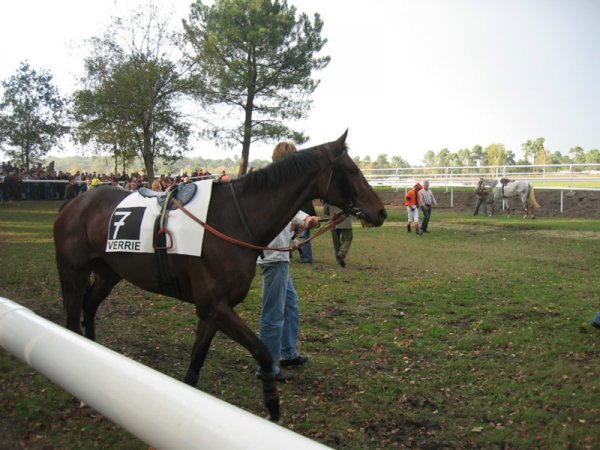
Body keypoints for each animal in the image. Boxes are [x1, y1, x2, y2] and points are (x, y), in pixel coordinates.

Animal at [54, 131, 386, 422]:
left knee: (89, 307)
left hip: (109, 273)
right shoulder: (215, 306)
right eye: (352, 170)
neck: (233, 221)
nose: (381, 212)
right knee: (72, 319)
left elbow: (196, 360)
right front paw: (272, 403)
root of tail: (74, 204)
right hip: (74, 274)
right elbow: (263, 351)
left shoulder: (212, 311)